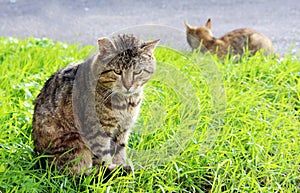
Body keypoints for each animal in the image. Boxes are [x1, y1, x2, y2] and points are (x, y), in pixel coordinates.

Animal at [32, 34, 159, 176]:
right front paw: (111, 171)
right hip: (74, 143)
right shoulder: (98, 130)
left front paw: (120, 167)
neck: (125, 102)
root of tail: (38, 159)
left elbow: (119, 152)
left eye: (137, 72)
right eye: (117, 71)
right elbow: (102, 157)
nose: (128, 85)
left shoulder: (122, 129)